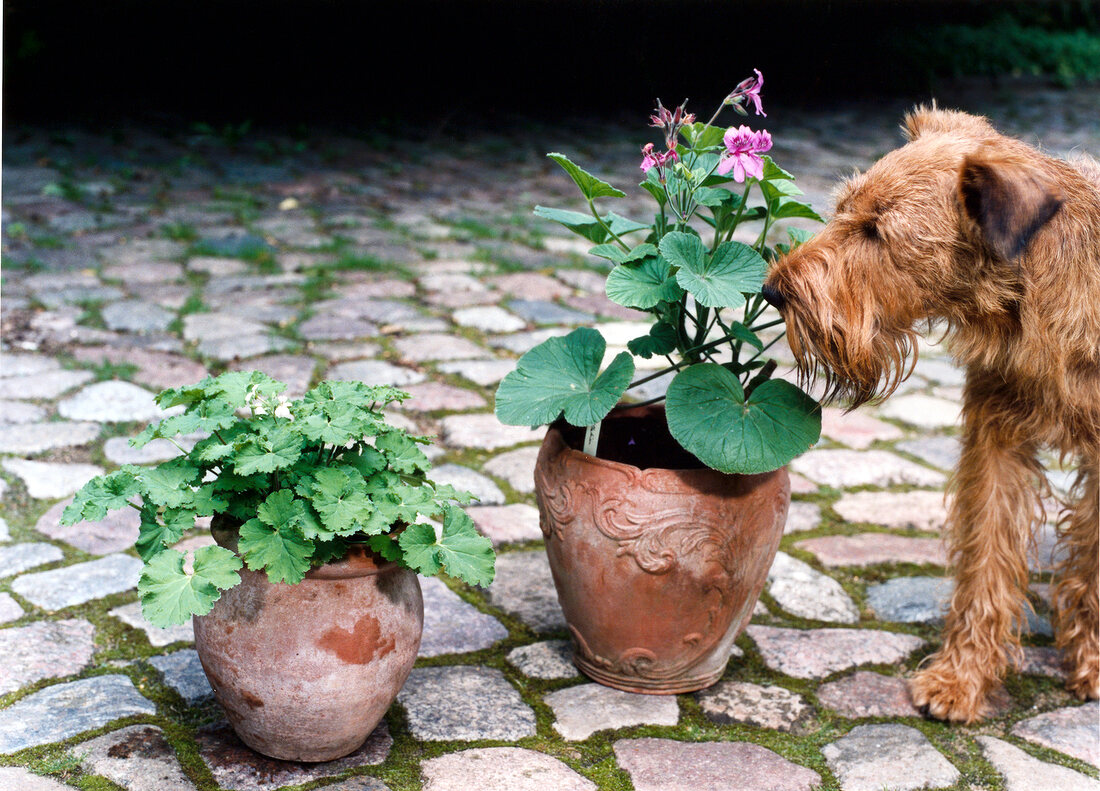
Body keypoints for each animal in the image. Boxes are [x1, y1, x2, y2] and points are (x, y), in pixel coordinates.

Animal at [765, 106, 1100, 726]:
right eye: (844, 207)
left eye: (877, 230)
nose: (772, 290)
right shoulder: (996, 435)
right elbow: (986, 560)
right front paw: (962, 679)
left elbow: (1090, 562)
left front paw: (1090, 663)